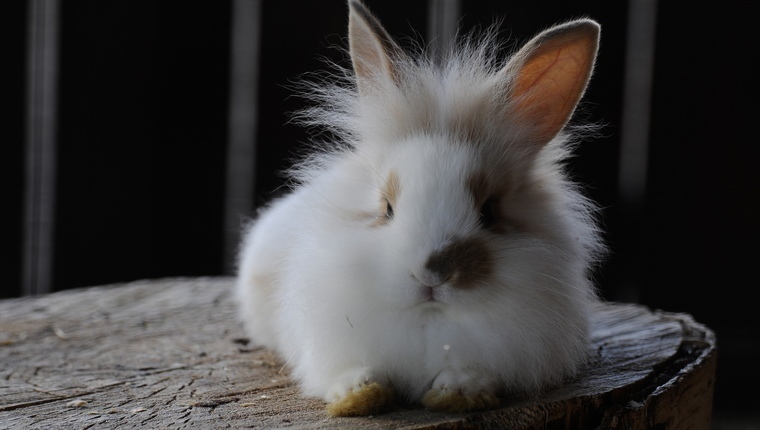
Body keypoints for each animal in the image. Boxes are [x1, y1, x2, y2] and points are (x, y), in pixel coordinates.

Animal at [236, 0, 605, 417]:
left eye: (489, 211)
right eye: (387, 207)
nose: (433, 272)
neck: (429, 321)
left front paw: (459, 393)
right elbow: (352, 372)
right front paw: (358, 395)